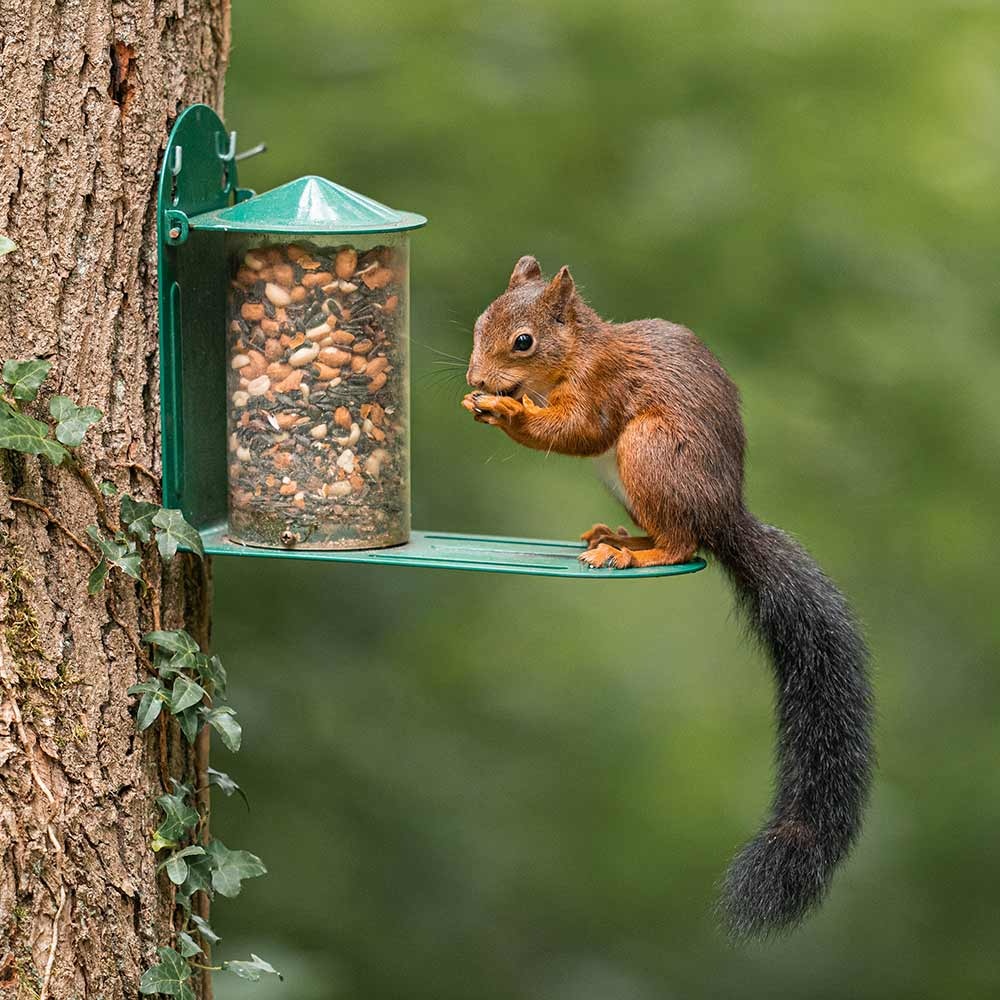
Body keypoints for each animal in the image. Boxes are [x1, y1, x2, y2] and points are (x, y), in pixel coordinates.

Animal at [460, 256, 876, 936]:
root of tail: (725, 517)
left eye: (522, 341)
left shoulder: (603, 388)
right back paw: (618, 537)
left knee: (685, 546)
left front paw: (503, 410)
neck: (576, 354)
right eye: (477, 323)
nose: (474, 379)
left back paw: (634, 553)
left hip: (651, 451)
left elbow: (577, 429)